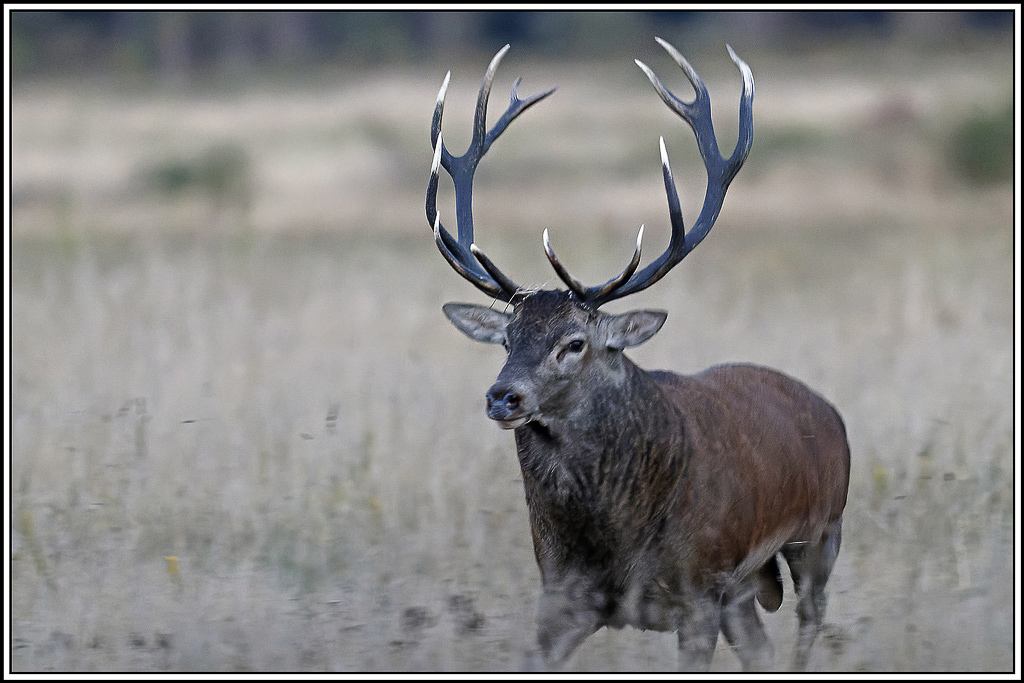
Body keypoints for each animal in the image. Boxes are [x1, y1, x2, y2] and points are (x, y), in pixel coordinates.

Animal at [426, 38, 851, 672]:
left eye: (575, 343)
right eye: (507, 340)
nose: (503, 396)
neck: (616, 541)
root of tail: (829, 412)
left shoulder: (698, 587)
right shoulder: (561, 593)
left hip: (821, 532)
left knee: (807, 627)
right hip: (744, 589)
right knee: (762, 648)